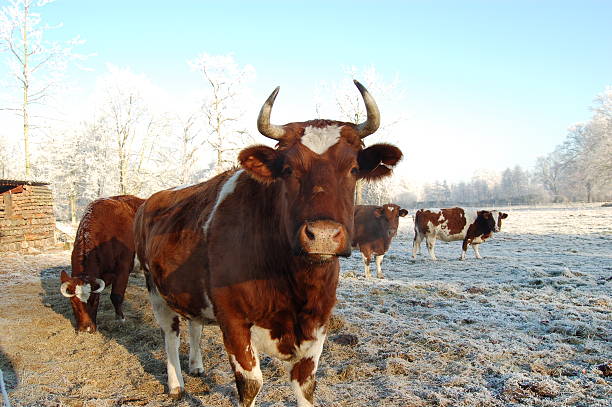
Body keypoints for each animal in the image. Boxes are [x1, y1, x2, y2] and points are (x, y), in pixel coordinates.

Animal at [60, 196, 145, 334]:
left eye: (95, 300)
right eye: (73, 302)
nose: (86, 329)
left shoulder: (123, 267)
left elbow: (116, 296)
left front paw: (120, 319)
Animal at [134, 81, 402, 406]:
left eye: (353, 169)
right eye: (288, 170)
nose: (323, 234)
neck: (293, 281)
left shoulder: (318, 322)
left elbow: (305, 386)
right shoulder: (233, 320)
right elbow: (251, 384)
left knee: (193, 323)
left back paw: (196, 365)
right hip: (155, 288)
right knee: (170, 334)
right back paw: (176, 384)